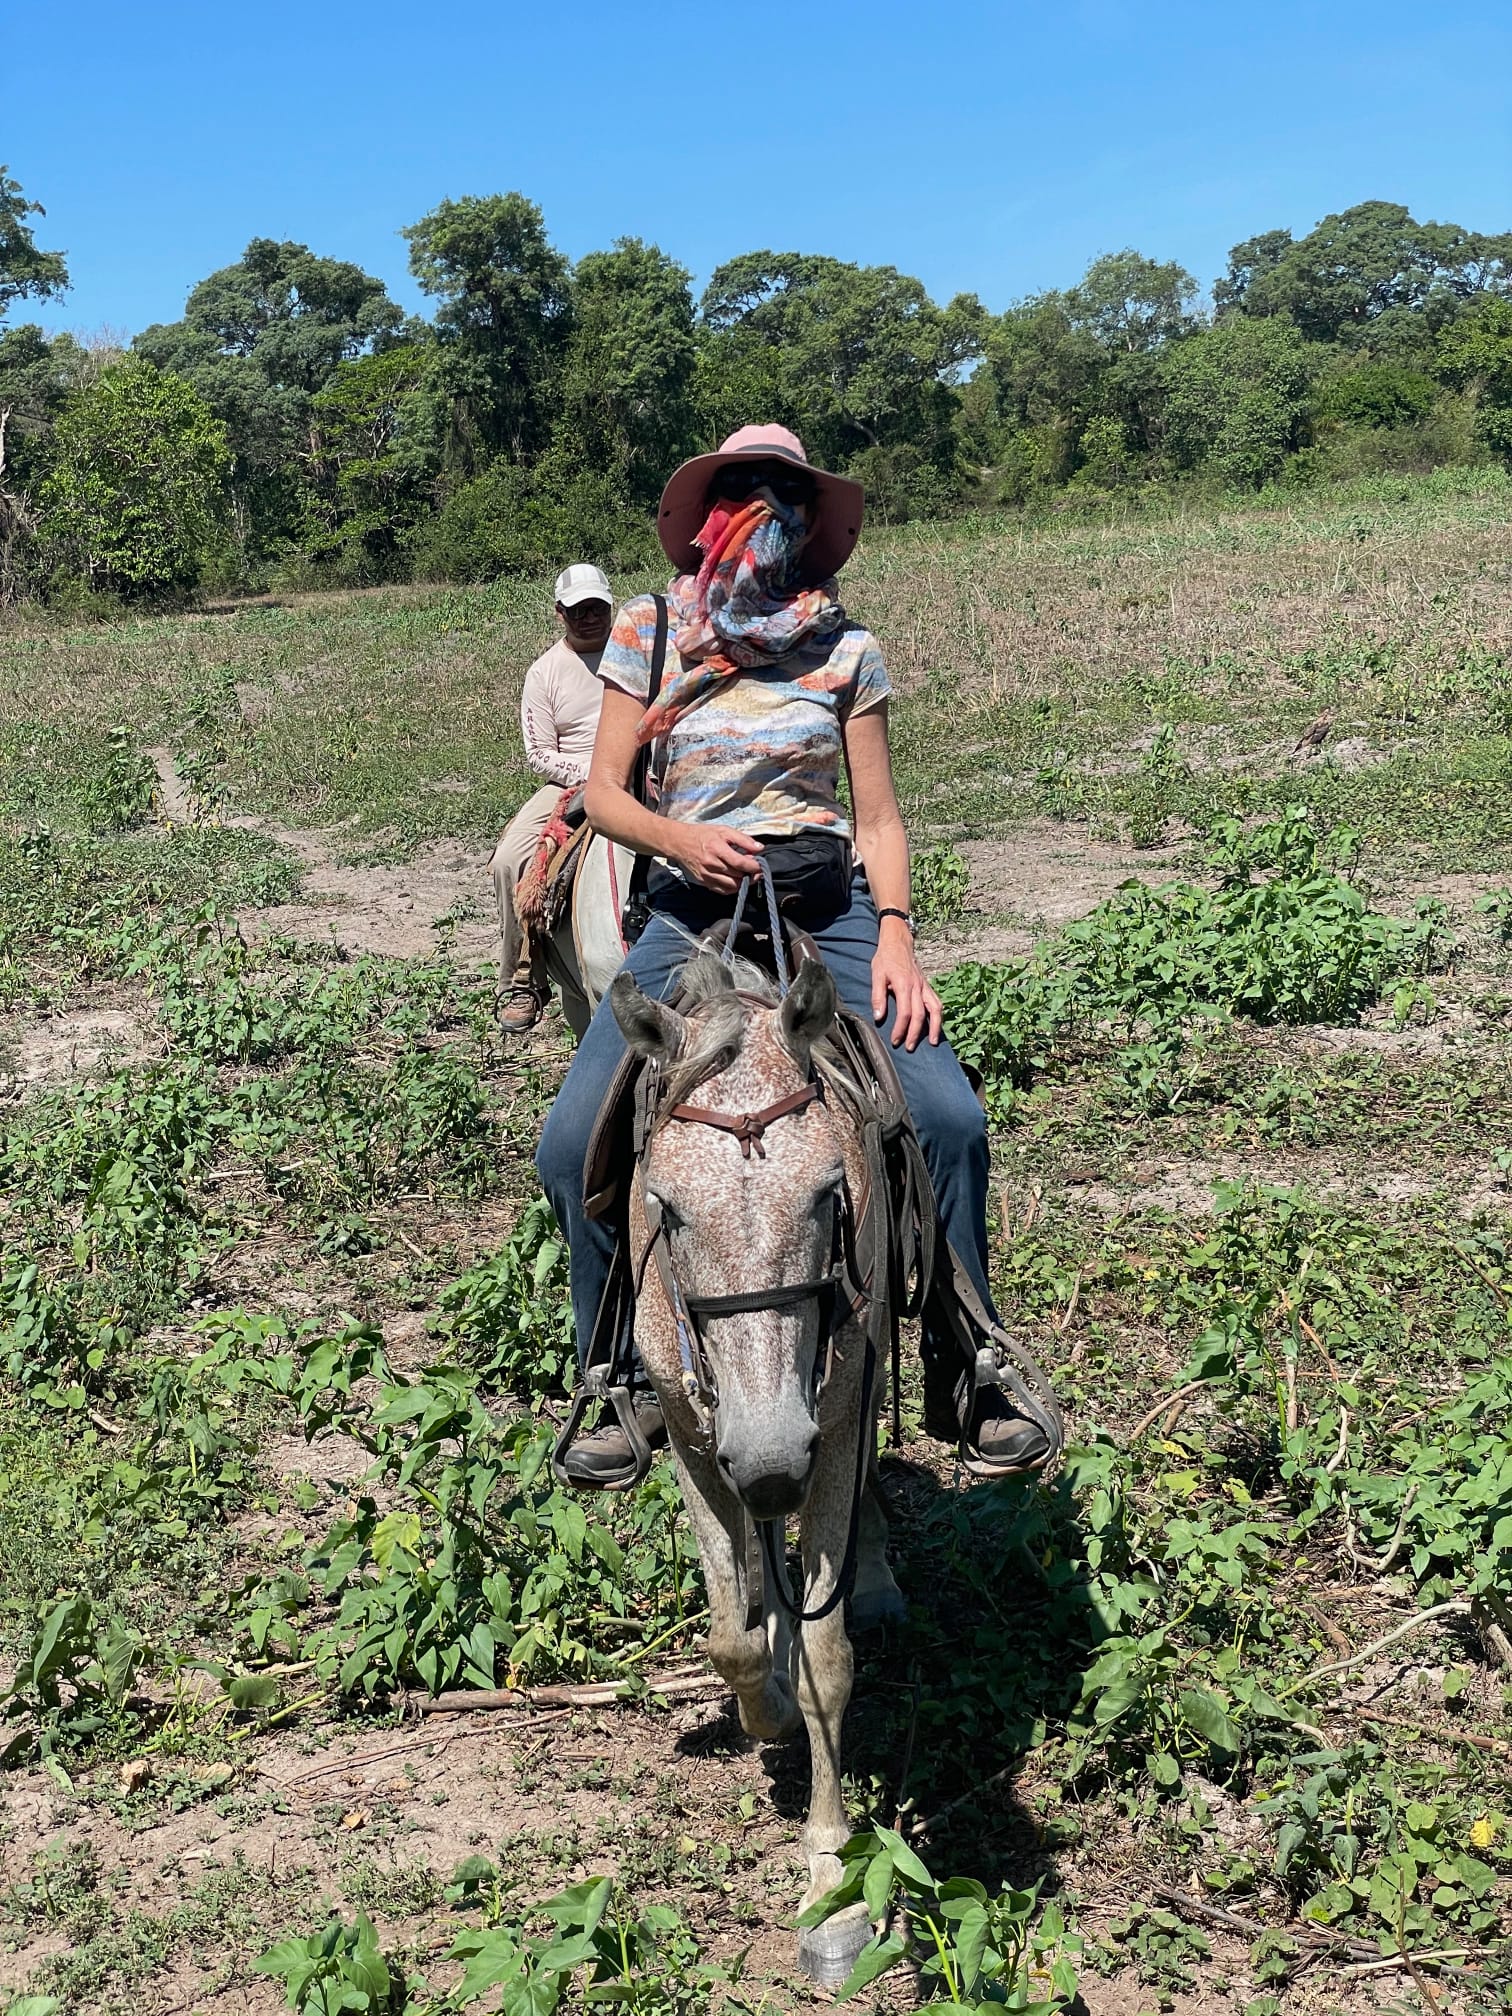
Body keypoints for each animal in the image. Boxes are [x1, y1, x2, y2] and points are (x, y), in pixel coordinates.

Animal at [608, 949, 904, 1985]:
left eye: (828, 1193)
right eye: (665, 1211)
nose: (773, 1457)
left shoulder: (834, 1429)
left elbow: (829, 1660)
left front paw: (833, 1884)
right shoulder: (696, 1442)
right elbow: (729, 1638)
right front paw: (763, 1699)